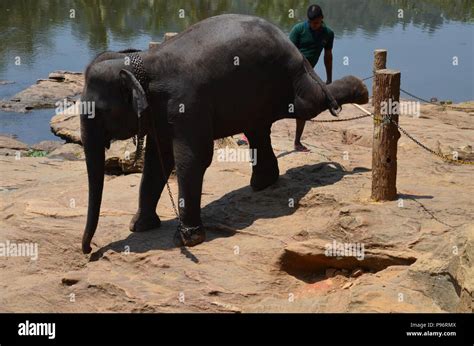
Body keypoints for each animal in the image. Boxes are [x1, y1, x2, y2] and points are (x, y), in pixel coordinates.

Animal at [79, 14, 368, 254]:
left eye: (99, 112)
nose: (90, 250)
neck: (144, 62)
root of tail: (289, 43)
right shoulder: (159, 115)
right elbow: (157, 160)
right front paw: (140, 227)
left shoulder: (188, 105)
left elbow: (192, 158)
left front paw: (188, 239)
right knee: (258, 130)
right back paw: (262, 184)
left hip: (288, 77)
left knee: (308, 104)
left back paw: (361, 91)